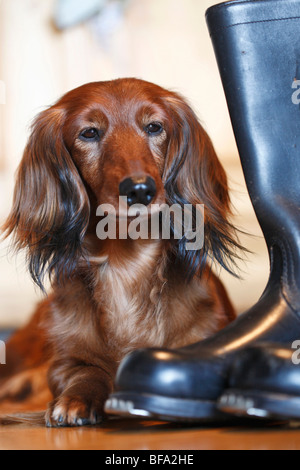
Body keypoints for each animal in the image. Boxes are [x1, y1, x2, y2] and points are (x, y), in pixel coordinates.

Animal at [0, 78, 240, 426]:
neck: (126, 265)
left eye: (154, 127)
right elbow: (85, 372)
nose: (139, 189)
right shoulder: (65, 360)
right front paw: (76, 399)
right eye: (89, 133)